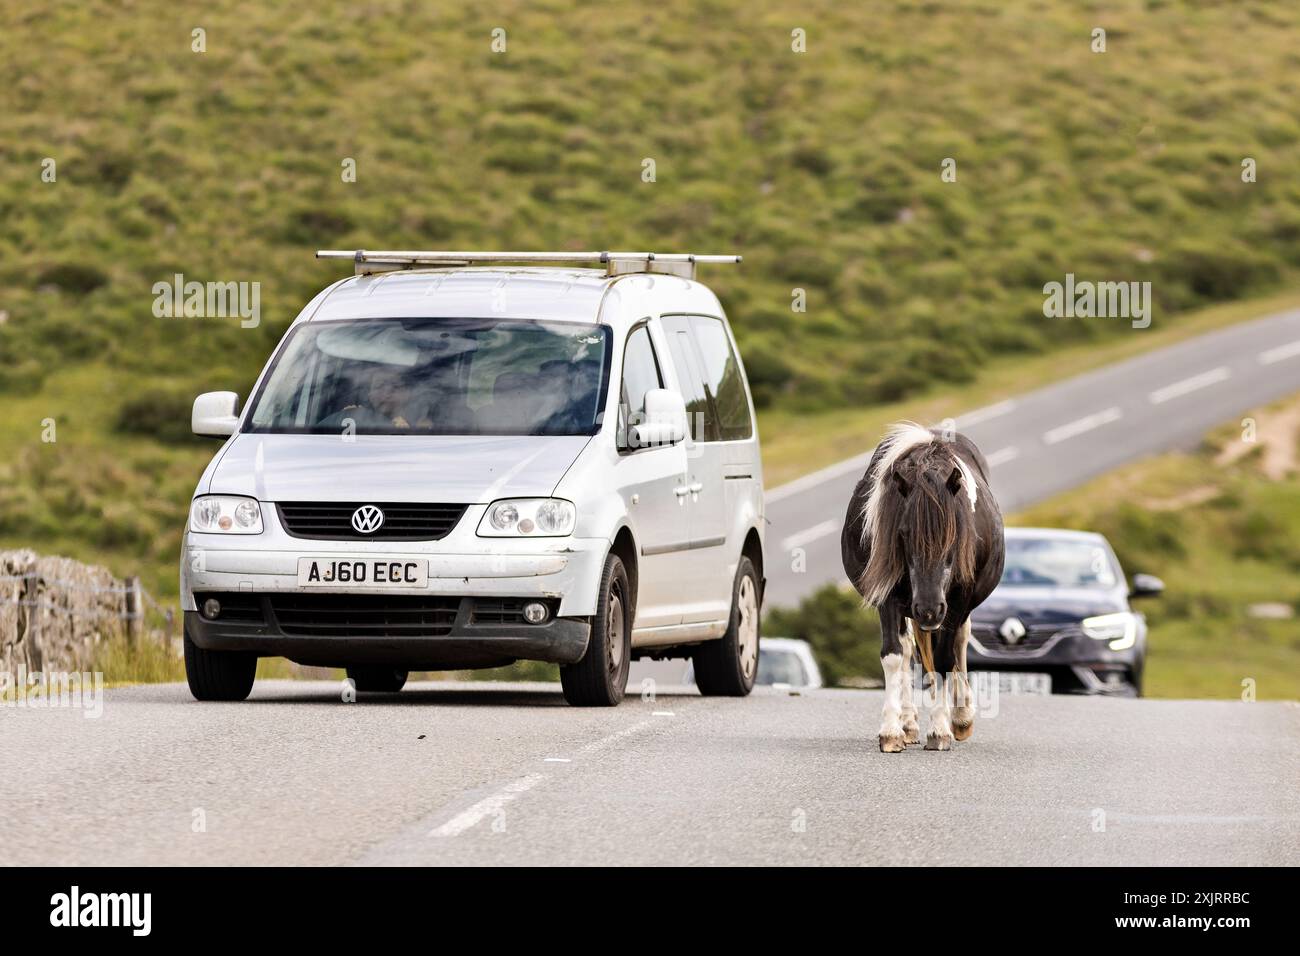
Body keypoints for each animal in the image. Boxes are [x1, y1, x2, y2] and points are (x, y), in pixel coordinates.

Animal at [842, 421, 1003, 749]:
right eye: (903, 534)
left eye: (955, 535)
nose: (928, 609)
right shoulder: (888, 594)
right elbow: (894, 655)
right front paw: (891, 730)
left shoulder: (956, 601)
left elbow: (943, 660)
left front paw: (941, 729)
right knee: (907, 651)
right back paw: (908, 723)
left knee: (960, 641)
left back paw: (961, 716)